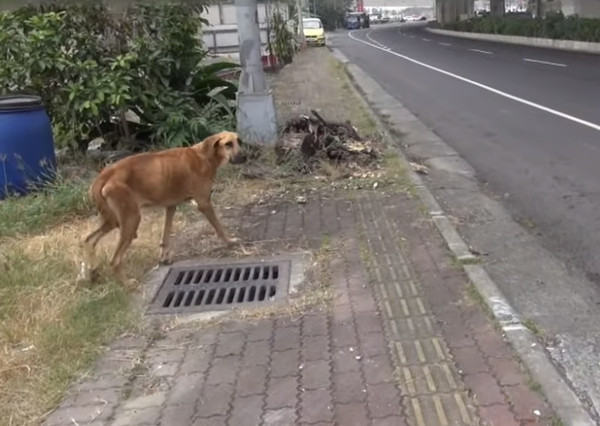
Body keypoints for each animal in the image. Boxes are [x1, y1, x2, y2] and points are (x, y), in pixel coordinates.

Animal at [81, 131, 245, 288]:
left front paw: (164, 257)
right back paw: (127, 284)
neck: (203, 156)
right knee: (114, 260)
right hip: (131, 220)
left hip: (113, 221)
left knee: (89, 240)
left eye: (239, 142)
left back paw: (92, 272)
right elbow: (219, 227)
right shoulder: (204, 203)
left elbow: (165, 236)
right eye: (228, 144)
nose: (245, 157)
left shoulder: (171, 206)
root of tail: (104, 176)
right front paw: (230, 241)